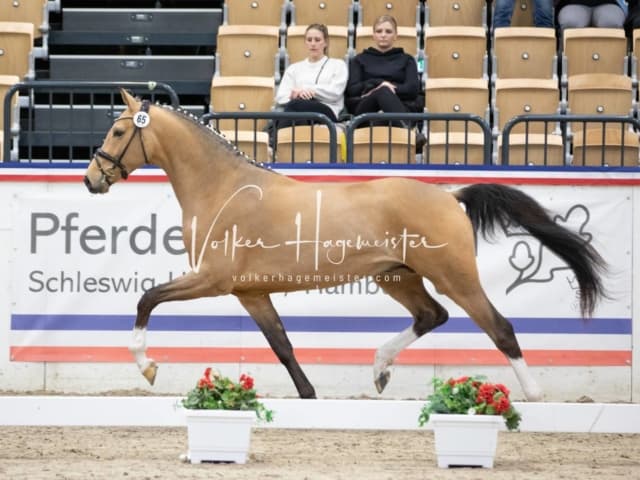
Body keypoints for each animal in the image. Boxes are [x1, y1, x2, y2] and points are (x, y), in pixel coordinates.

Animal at [82, 89, 608, 402]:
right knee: (431, 316)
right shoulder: (251, 292)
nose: (91, 180)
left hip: (453, 276)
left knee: (500, 328)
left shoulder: (213, 279)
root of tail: (449, 195)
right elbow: (282, 345)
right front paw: (309, 396)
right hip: (396, 276)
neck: (223, 187)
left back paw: (533, 396)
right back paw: (379, 369)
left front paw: (147, 367)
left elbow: (146, 298)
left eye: (119, 130)